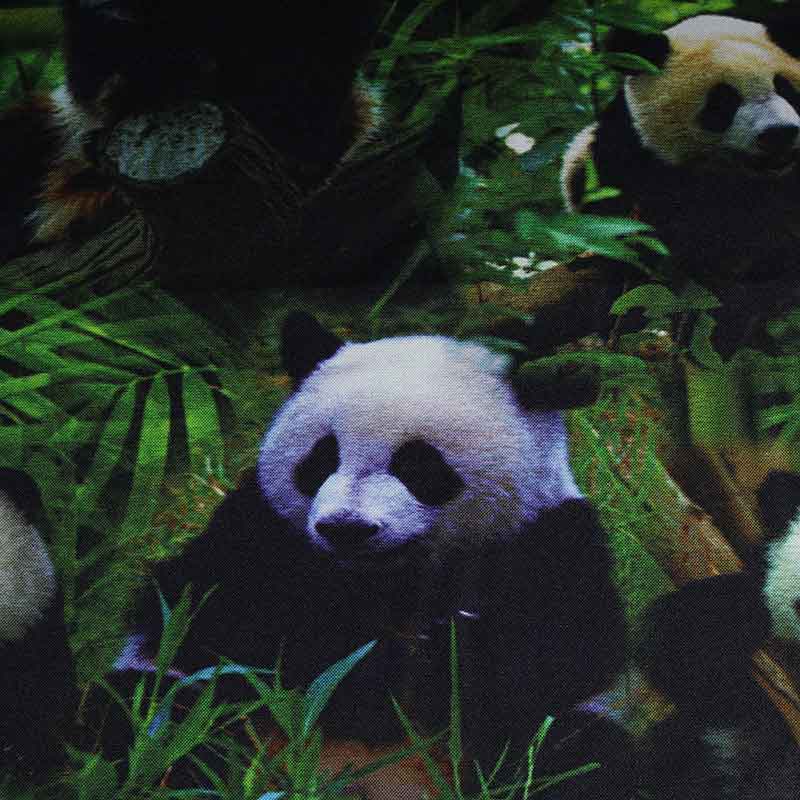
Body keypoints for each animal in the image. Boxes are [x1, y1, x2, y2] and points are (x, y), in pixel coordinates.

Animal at [120, 311, 629, 795]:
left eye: (419, 464)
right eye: (323, 457)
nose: (346, 528)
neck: (382, 579)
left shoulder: (548, 539)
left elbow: (553, 661)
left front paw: (444, 646)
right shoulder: (258, 527)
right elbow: (207, 617)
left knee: (576, 751)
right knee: (155, 714)